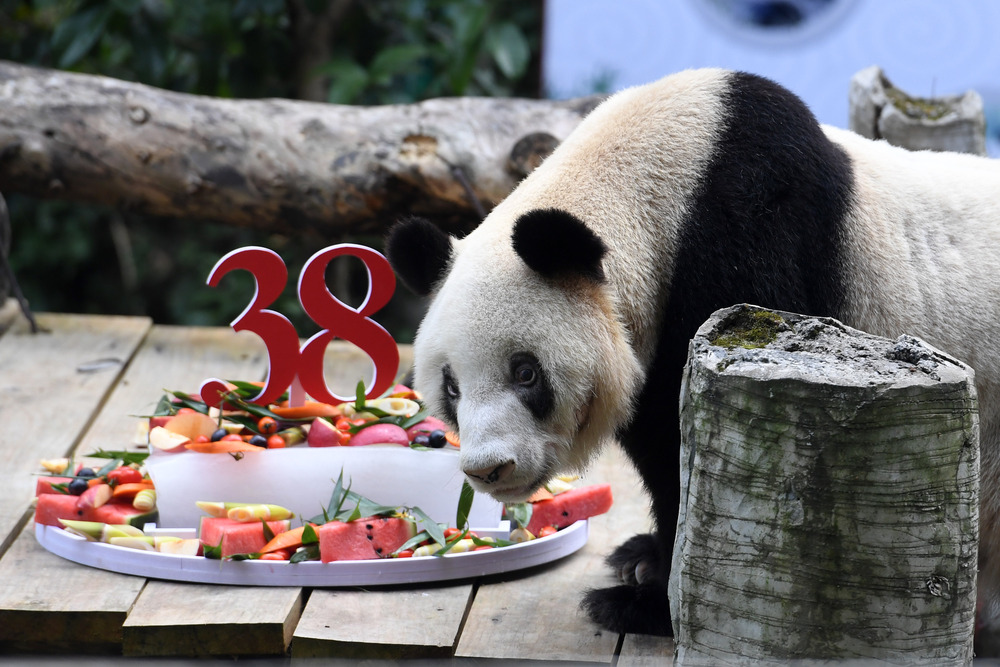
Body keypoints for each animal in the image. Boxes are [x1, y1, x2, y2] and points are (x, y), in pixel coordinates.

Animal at [380, 70, 1000, 648]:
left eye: (525, 372)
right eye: (451, 387)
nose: (489, 469)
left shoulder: (750, 234)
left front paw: (643, 605)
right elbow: (661, 443)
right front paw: (645, 562)